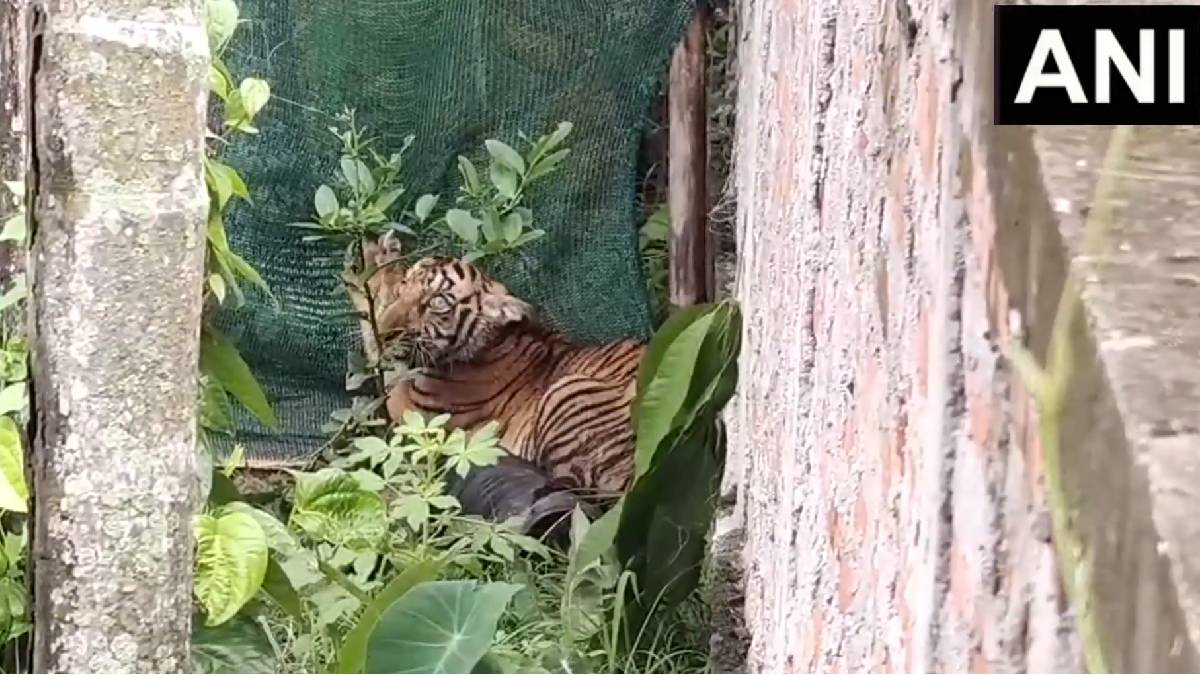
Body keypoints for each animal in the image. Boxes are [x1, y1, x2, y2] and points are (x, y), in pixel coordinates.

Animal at [345, 233, 645, 496]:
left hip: (567, 391)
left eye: (437, 302)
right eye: (405, 285)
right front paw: (373, 259)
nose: (385, 333)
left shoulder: (409, 411)